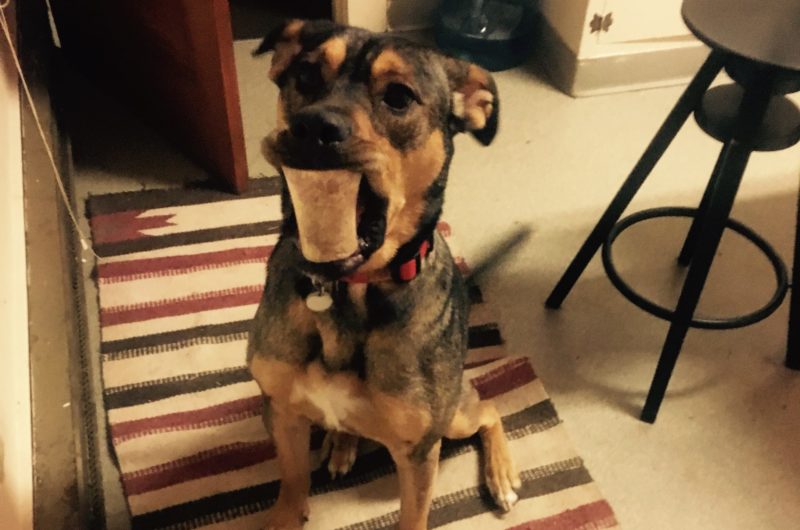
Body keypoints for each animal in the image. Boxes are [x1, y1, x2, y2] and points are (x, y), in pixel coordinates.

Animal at [245, 19, 520, 528]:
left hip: (453, 417)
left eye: (397, 96)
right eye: (305, 75)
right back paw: (341, 444)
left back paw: (502, 476)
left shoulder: (418, 451)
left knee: (489, 407)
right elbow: (292, 485)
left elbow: (414, 515)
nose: (313, 126)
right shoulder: (282, 412)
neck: (346, 291)